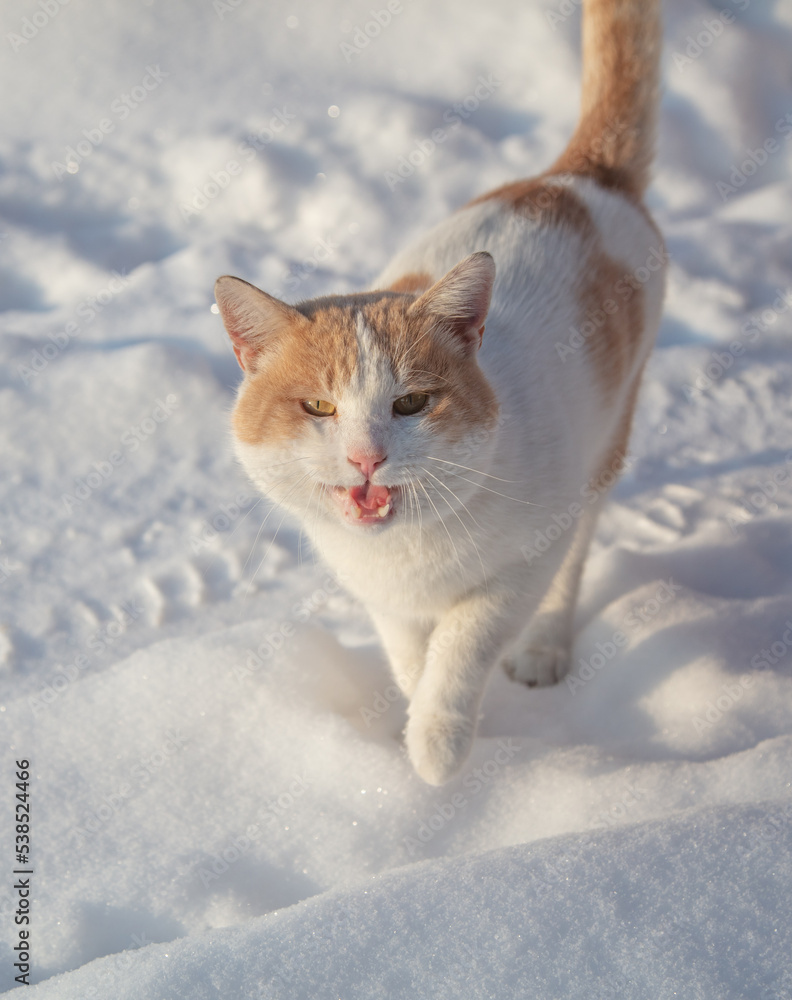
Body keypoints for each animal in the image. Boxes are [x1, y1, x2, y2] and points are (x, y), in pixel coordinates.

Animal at [213, 0, 664, 784]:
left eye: (412, 404)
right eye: (320, 407)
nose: (366, 457)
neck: (406, 551)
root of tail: (578, 178)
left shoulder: (524, 562)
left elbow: (464, 642)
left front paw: (437, 742)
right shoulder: (383, 598)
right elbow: (408, 654)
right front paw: (413, 703)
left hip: (605, 443)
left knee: (578, 553)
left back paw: (545, 648)